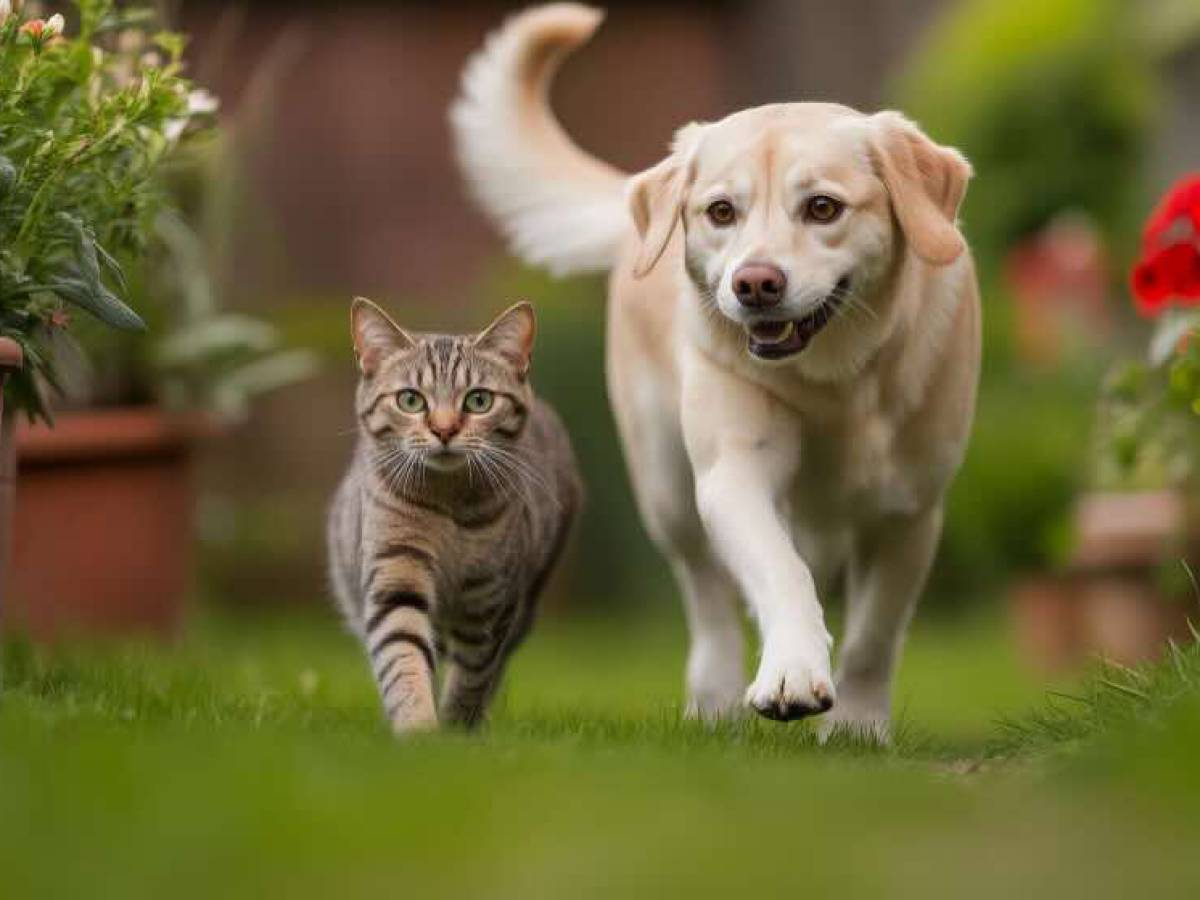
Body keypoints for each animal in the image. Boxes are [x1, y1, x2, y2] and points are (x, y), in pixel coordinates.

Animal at [328, 300, 580, 734]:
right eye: (410, 400)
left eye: (478, 401)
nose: (444, 430)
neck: (448, 509)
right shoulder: (395, 575)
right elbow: (403, 657)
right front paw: (418, 729)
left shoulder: (490, 600)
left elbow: (472, 676)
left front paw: (457, 730)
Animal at [451, 3, 974, 739]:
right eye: (721, 212)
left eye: (823, 207)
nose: (754, 284)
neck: (834, 380)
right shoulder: (733, 478)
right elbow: (781, 573)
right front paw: (792, 672)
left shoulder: (910, 513)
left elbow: (875, 634)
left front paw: (857, 725)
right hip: (667, 491)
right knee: (708, 602)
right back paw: (717, 699)